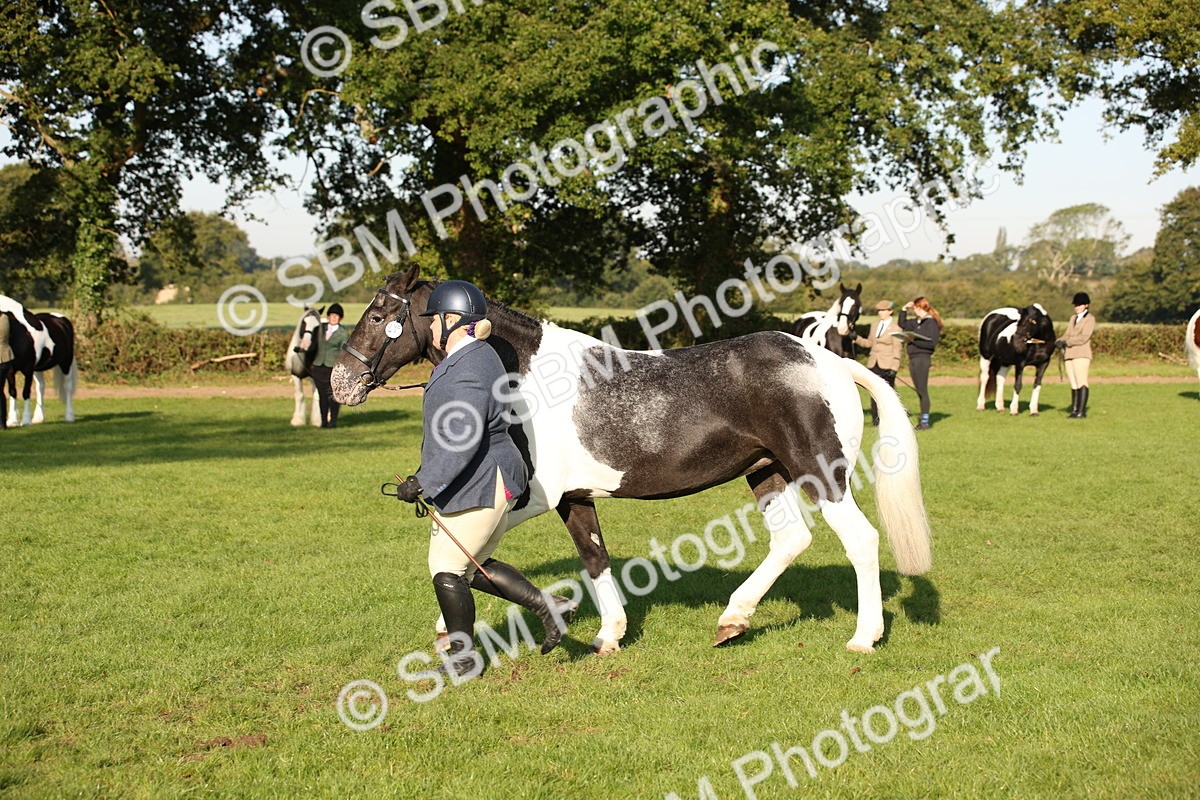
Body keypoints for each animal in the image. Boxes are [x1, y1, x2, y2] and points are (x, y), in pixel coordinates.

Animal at [0, 295, 77, 426]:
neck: (19, 332)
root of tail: (63, 321)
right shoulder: (10, 370)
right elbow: (12, 391)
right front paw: (12, 420)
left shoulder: (28, 369)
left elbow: (25, 392)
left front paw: (25, 420)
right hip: (38, 369)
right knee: (40, 387)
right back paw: (38, 418)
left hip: (66, 363)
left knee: (68, 386)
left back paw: (69, 416)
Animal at [331, 266, 932, 656]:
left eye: (380, 313)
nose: (341, 381)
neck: (524, 377)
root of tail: (825, 360)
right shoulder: (573, 498)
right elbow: (593, 557)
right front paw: (608, 634)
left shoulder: (531, 494)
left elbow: (468, 549)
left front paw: (445, 624)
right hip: (766, 472)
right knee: (791, 540)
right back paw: (732, 620)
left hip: (820, 472)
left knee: (860, 541)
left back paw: (864, 637)